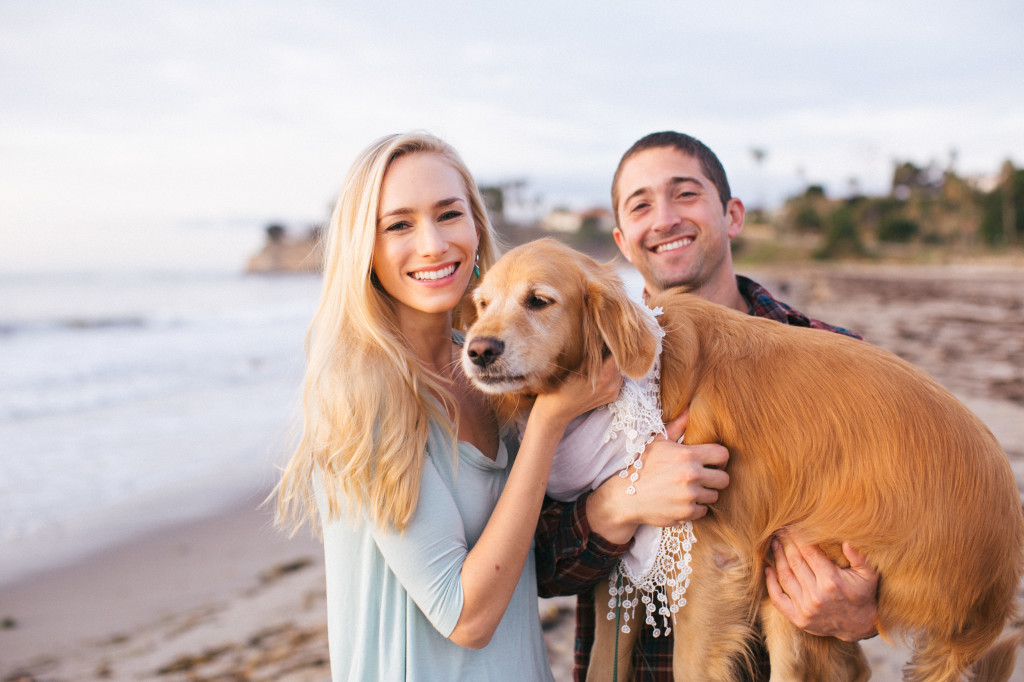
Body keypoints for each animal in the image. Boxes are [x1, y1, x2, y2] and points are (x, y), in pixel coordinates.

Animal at [464, 238, 1024, 679]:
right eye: (482, 303)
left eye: (539, 300)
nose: (477, 350)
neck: (633, 389)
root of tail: (1000, 577)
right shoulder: (619, 566)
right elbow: (604, 661)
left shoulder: (708, 571)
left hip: (797, 559)